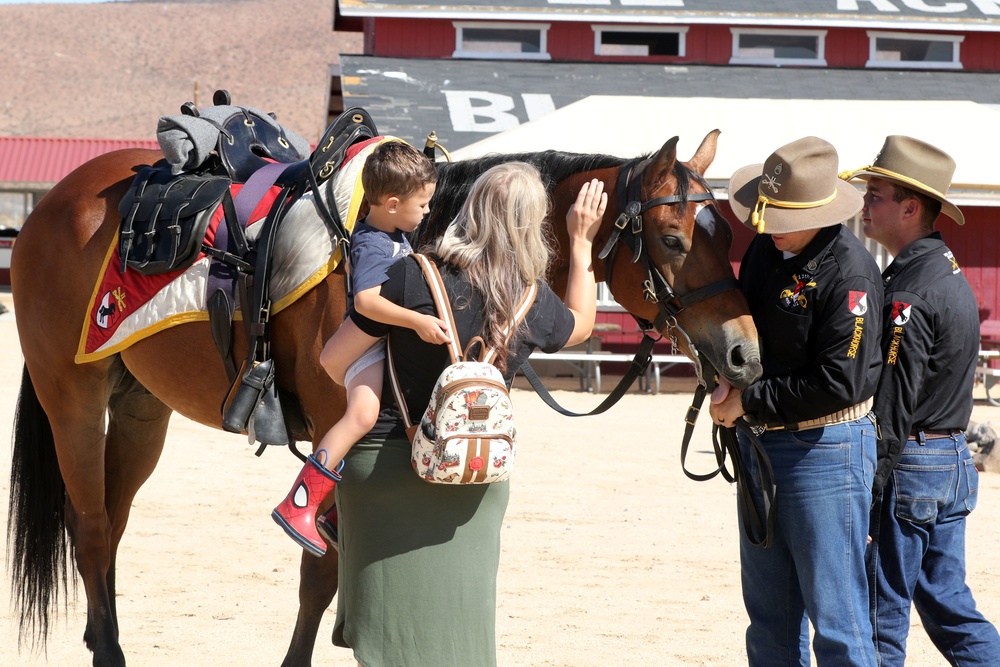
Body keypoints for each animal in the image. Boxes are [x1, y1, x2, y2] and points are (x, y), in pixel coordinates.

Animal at [7, 130, 760, 667]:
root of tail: (59, 201)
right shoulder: (338, 425)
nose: (744, 352)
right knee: (91, 524)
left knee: (109, 523)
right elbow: (319, 566)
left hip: (140, 408)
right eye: (673, 238)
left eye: (730, 233)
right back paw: (108, 650)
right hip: (72, 397)